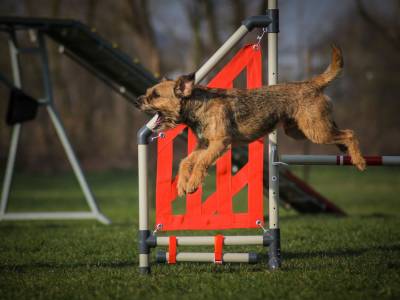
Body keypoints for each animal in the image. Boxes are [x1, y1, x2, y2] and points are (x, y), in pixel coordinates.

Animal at [134, 44, 366, 195]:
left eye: (155, 95)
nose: (137, 101)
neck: (198, 105)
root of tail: (311, 83)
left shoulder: (219, 144)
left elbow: (200, 162)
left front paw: (192, 184)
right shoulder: (204, 144)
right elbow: (186, 161)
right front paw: (182, 184)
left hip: (315, 131)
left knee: (350, 133)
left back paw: (360, 160)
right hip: (300, 130)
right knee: (341, 133)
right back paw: (348, 154)